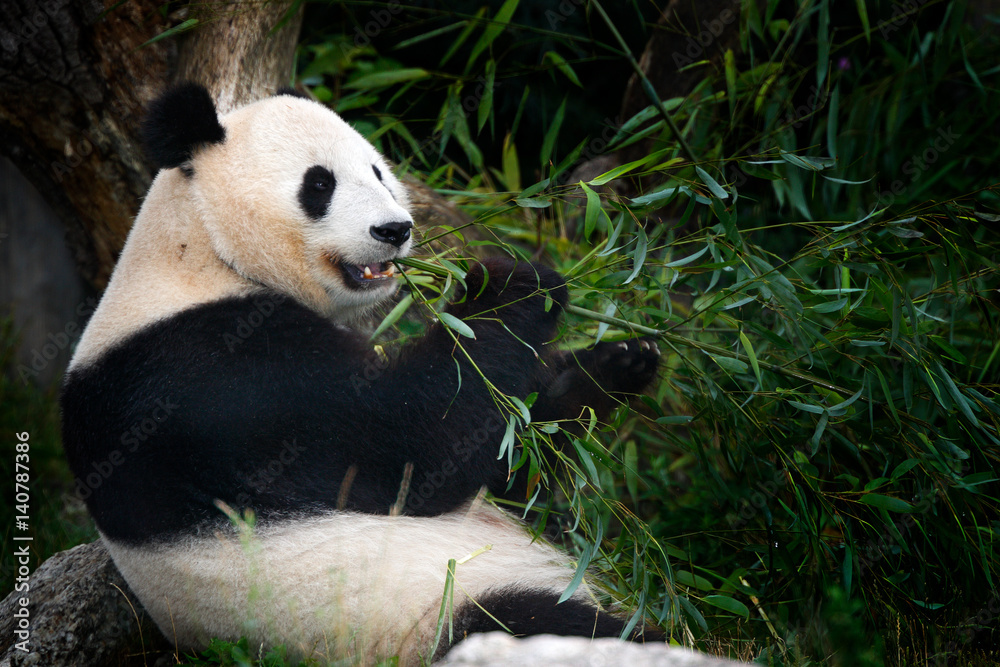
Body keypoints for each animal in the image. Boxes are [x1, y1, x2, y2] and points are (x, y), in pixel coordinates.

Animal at [58, 83, 660, 664]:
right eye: (319, 183)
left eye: (377, 171)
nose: (395, 229)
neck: (199, 250)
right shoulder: (212, 373)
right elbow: (411, 449)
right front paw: (514, 282)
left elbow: (509, 468)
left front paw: (616, 365)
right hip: (439, 609)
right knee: (549, 627)